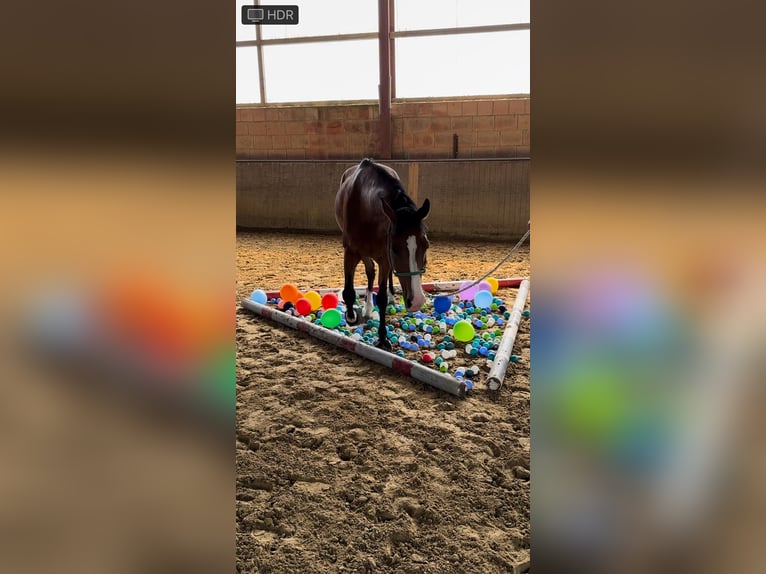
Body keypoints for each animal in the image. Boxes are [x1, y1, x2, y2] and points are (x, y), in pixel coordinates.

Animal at [336, 158, 432, 352]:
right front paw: (351, 316)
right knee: (370, 272)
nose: (417, 301)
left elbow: (381, 296)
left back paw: (388, 298)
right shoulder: (351, 252)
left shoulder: (384, 258)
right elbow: (349, 289)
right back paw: (366, 309)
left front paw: (382, 338)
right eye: (394, 248)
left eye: (426, 245)